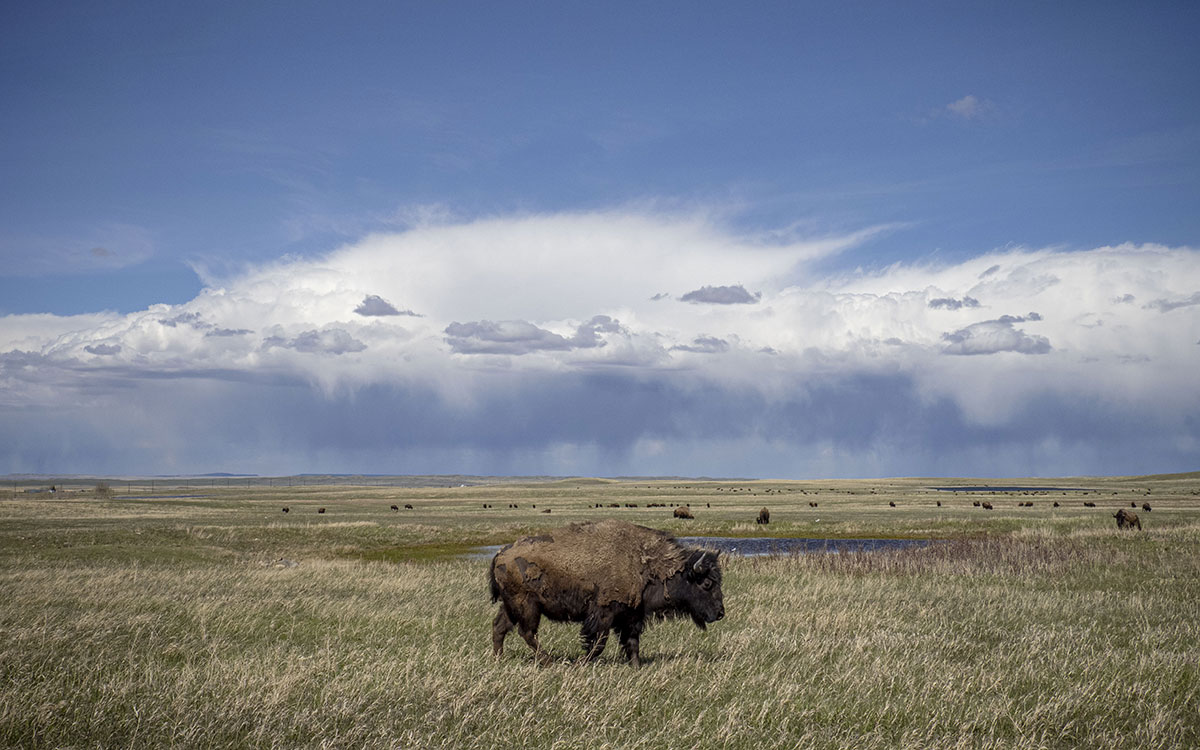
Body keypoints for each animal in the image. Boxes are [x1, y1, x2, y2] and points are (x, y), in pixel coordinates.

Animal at [487, 520, 720, 667]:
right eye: (707, 583)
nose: (720, 613)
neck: (646, 564)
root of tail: (501, 553)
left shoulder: (631, 616)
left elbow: (632, 643)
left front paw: (637, 667)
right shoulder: (603, 615)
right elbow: (598, 643)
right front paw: (579, 664)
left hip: (511, 606)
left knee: (500, 627)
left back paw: (499, 659)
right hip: (527, 606)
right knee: (526, 632)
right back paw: (548, 661)